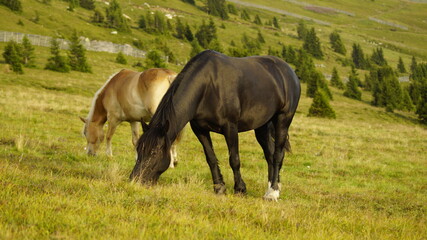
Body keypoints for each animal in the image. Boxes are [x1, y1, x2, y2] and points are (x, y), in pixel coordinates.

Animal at [130, 49, 300, 200]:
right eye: (138, 150)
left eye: (154, 153)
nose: (135, 180)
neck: (208, 85)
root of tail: (288, 71)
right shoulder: (200, 129)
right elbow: (211, 158)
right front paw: (219, 188)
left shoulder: (230, 127)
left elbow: (234, 159)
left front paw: (240, 189)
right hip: (262, 126)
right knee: (269, 154)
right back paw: (271, 188)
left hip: (283, 119)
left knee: (277, 155)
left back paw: (273, 193)